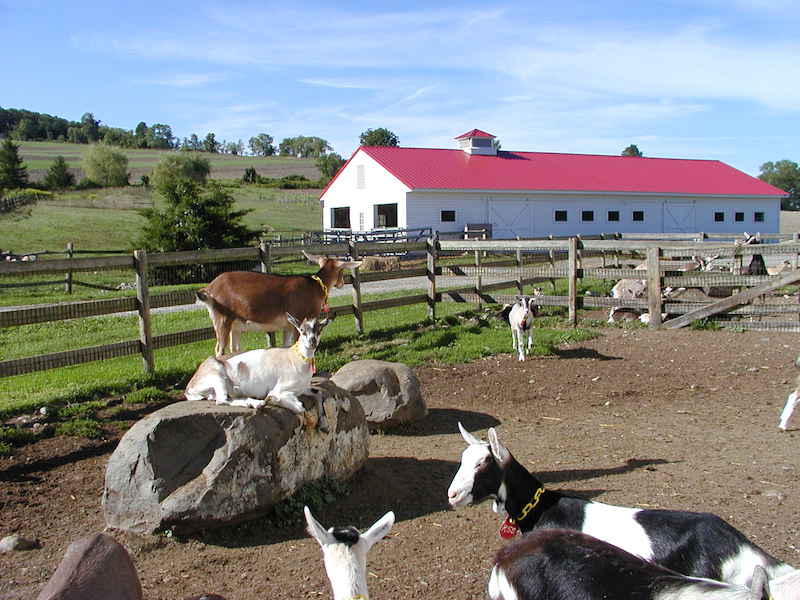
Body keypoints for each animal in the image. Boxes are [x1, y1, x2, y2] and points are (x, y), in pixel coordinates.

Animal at [198, 250, 360, 356]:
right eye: (342, 270)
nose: (342, 283)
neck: (314, 287)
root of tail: (209, 289)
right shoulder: (301, 320)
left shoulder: (288, 324)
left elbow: (286, 345)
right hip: (221, 319)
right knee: (219, 349)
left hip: (235, 325)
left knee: (235, 349)